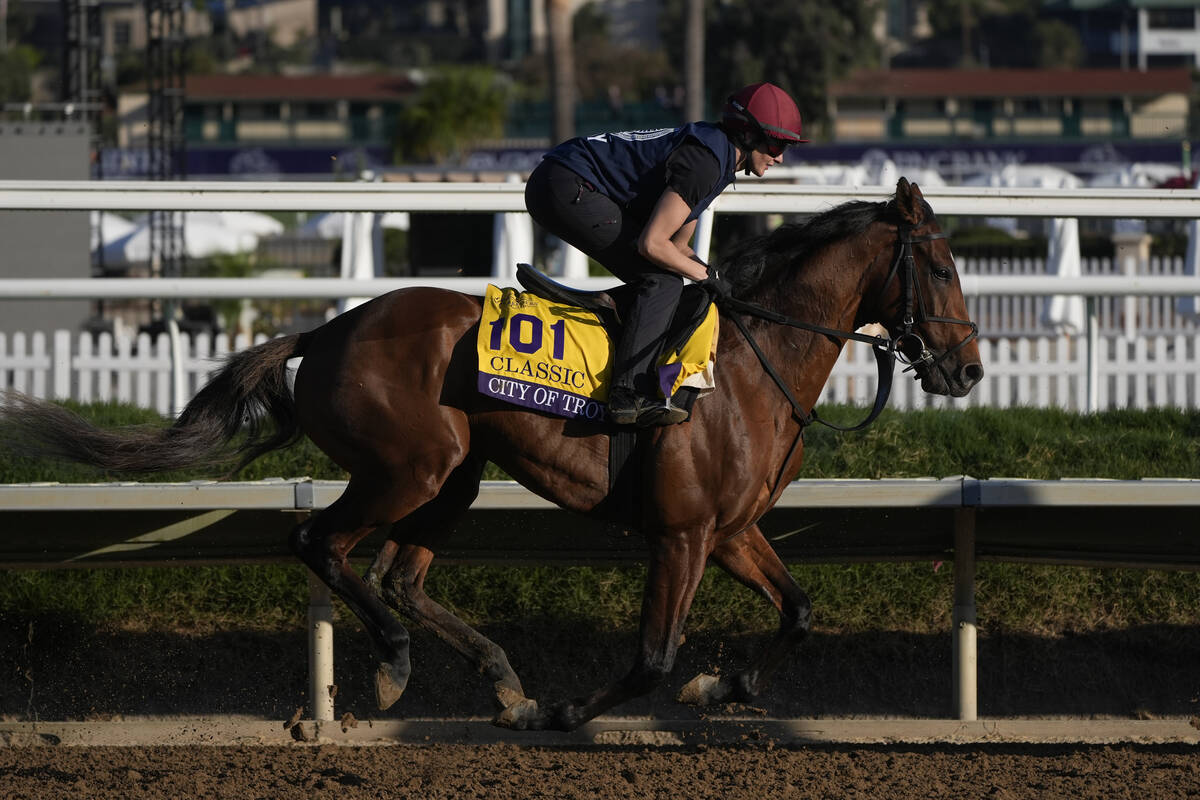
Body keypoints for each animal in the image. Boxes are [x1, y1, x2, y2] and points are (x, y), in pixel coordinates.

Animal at [2, 179, 984, 734]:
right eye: (941, 268)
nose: (969, 368)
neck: (748, 362)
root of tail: (326, 329)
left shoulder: (731, 531)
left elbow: (800, 613)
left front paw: (720, 687)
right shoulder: (680, 536)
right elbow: (650, 658)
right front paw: (572, 709)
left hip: (455, 476)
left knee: (400, 576)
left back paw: (501, 683)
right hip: (408, 468)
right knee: (323, 545)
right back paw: (400, 664)